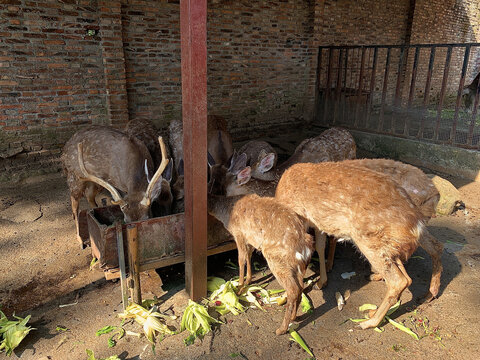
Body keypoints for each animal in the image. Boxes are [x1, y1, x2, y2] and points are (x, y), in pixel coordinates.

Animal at [207, 193, 316, 336]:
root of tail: (305, 246)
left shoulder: (239, 234)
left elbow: (241, 259)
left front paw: (238, 288)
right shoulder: (249, 239)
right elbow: (248, 256)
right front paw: (248, 280)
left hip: (277, 260)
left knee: (293, 289)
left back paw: (281, 329)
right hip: (298, 267)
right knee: (300, 287)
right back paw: (294, 317)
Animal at [276, 162, 430, 330]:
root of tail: (417, 227)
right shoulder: (317, 223)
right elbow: (320, 246)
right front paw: (322, 281)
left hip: (369, 243)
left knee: (398, 281)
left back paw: (368, 322)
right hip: (389, 248)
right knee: (406, 278)